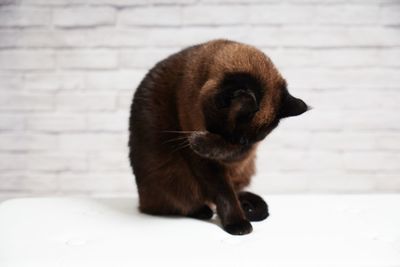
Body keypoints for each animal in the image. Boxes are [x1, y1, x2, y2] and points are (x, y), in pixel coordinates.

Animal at [129, 39, 310, 237]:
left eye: (246, 142)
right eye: (233, 137)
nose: (240, 147)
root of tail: (142, 203)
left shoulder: (236, 155)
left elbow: (226, 186)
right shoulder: (204, 160)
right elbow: (224, 192)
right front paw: (238, 224)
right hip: (172, 177)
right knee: (180, 202)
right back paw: (202, 211)